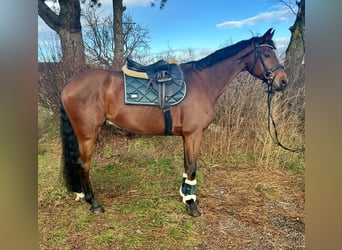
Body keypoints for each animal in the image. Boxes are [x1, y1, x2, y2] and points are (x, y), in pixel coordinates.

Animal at [60, 27, 288, 217]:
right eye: (267, 54)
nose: (283, 81)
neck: (203, 82)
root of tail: (68, 85)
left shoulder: (187, 136)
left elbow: (186, 165)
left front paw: (185, 196)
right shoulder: (194, 134)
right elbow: (192, 166)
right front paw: (192, 205)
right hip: (88, 134)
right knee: (83, 164)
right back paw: (93, 203)